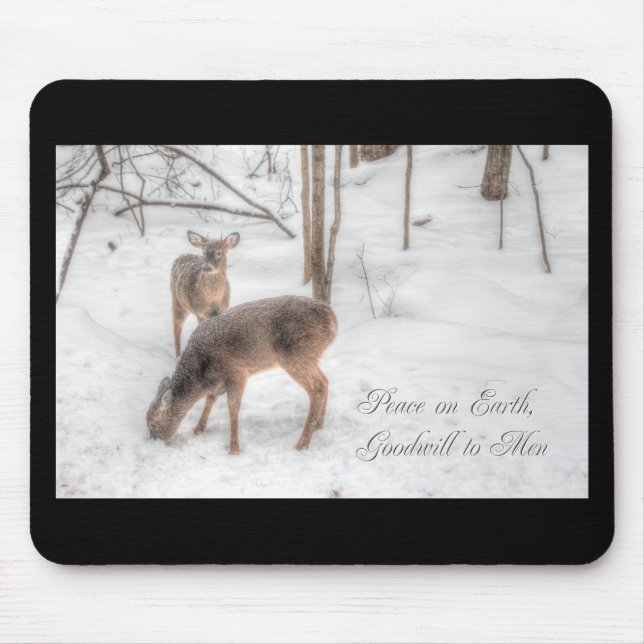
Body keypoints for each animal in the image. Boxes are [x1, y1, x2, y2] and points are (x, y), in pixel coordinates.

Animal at [147, 295, 337, 453]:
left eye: (153, 424)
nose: (153, 441)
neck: (201, 374)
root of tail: (332, 319)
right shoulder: (218, 384)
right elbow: (210, 400)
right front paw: (198, 429)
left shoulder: (236, 372)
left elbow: (232, 408)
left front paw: (233, 449)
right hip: (309, 357)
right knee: (325, 381)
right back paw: (319, 426)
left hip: (296, 355)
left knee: (317, 388)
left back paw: (302, 443)